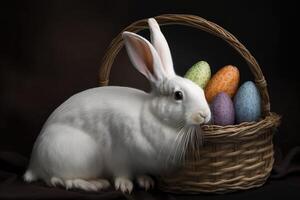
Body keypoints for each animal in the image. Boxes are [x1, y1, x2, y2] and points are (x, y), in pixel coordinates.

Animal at [23, 18, 211, 193]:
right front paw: (125, 186)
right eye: (178, 95)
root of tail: (34, 163)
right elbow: (122, 173)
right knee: (58, 180)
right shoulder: (120, 155)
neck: (155, 117)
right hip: (76, 156)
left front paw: (146, 182)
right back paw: (95, 184)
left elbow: (140, 173)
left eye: (199, 90)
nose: (205, 115)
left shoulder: (140, 163)